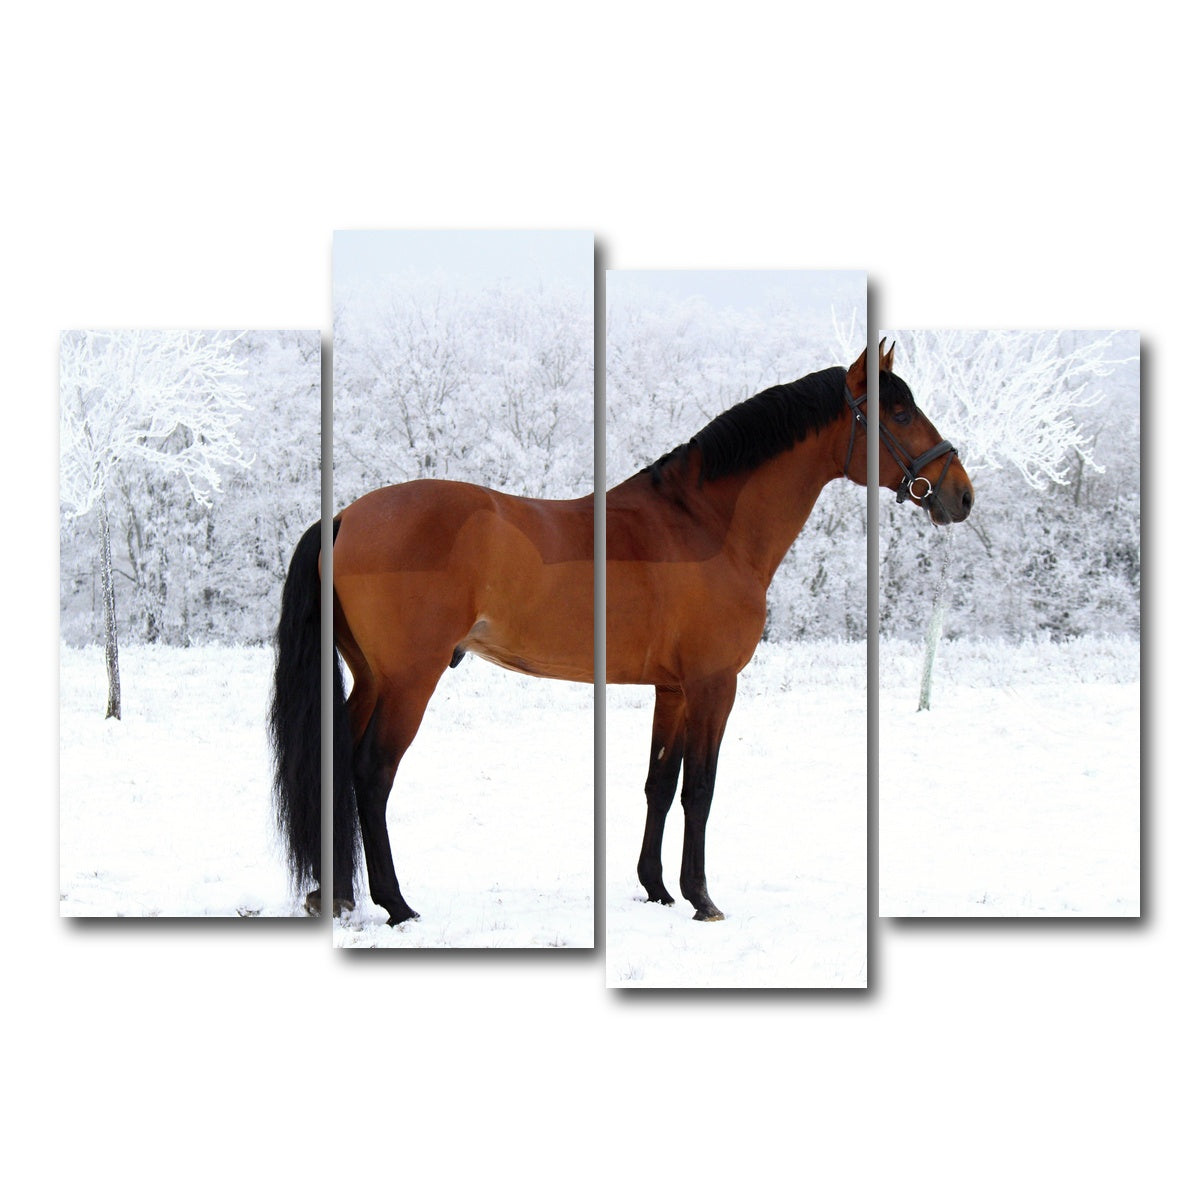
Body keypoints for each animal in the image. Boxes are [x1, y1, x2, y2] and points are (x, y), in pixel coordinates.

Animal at [606, 341, 973, 920]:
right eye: (899, 414)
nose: (963, 494)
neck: (703, 528)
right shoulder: (713, 685)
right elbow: (700, 790)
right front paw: (701, 898)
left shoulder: (674, 689)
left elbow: (660, 785)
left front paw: (657, 889)